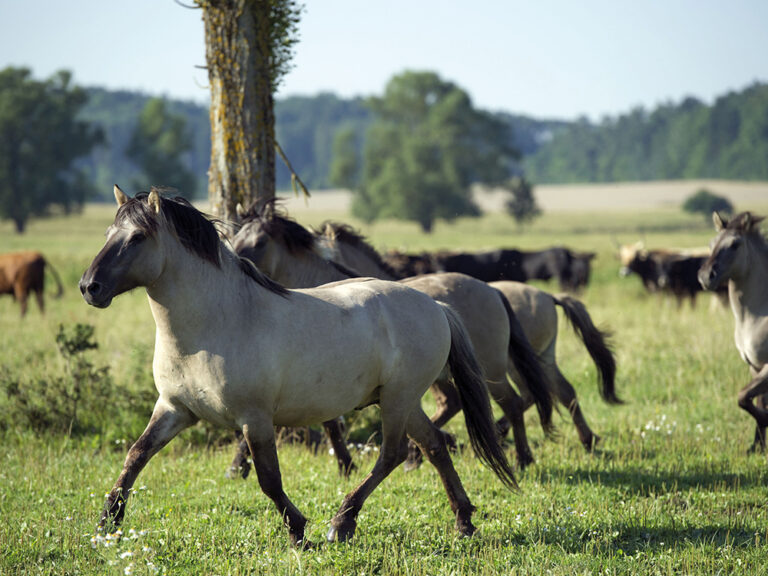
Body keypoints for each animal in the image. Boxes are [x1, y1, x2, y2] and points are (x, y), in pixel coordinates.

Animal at [79, 187, 516, 548]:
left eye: (137, 237)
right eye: (107, 233)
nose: (89, 287)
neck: (216, 324)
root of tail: (437, 307)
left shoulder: (254, 418)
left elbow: (269, 480)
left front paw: (299, 531)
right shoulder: (174, 409)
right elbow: (135, 456)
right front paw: (107, 524)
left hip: (397, 399)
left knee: (392, 454)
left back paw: (342, 522)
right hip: (401, 401)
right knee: (434, 446)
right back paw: (463, 521)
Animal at [700, 209, 768, 452]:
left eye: (735, 244)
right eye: (711, 244)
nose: (705, 277)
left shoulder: (767, 368)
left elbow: (742, 396)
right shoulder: (754, 367)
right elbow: (753, 401)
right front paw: (757, 448)